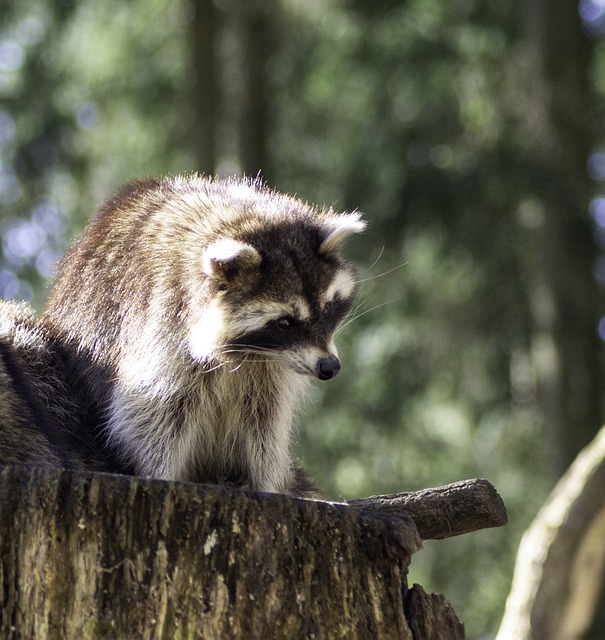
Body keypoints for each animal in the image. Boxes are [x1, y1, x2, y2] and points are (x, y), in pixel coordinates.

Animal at [0, 175, 364, 496]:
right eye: (285, 322)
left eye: (328, 308)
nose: (330, 367)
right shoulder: (160, 327)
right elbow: (152, 418)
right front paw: (158, 474)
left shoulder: (271, 372)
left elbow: (265, 425)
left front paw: (266, 483)